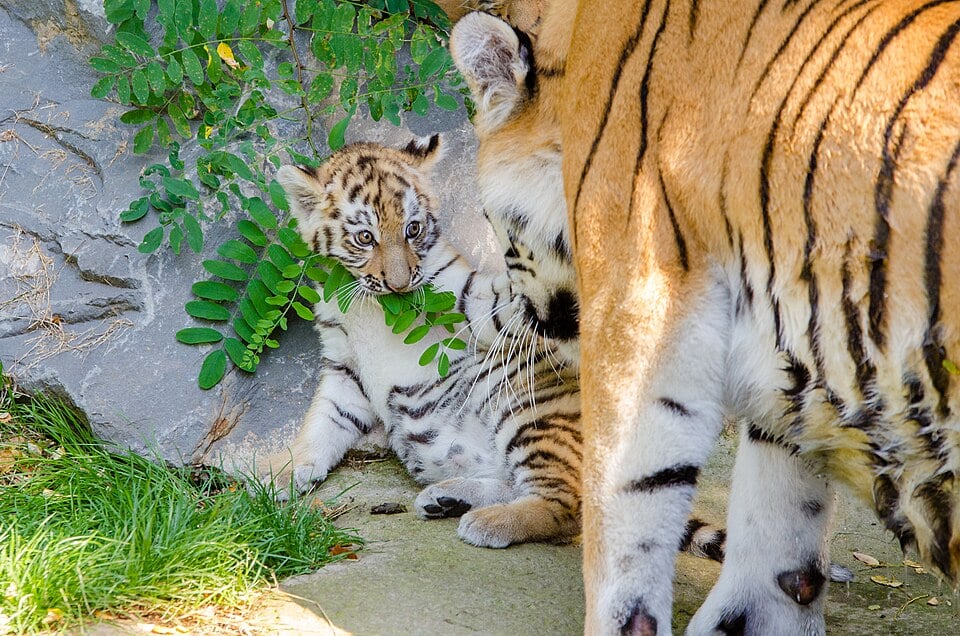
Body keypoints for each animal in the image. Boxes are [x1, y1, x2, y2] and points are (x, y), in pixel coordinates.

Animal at [449, 1, 960, 633]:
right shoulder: (787, 370)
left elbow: (624, 528)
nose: (514, 314)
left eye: (491, 223)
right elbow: (776, 558)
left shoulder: (639, 302)